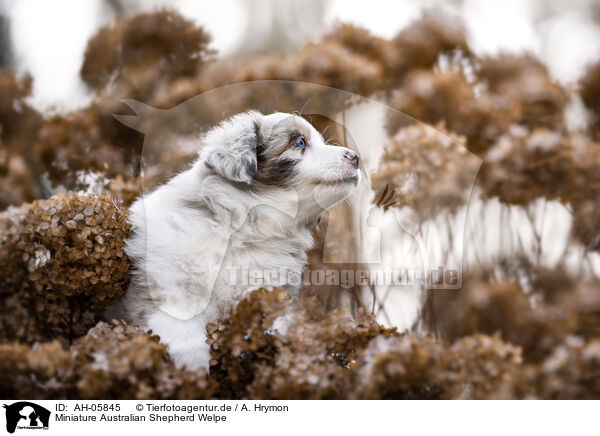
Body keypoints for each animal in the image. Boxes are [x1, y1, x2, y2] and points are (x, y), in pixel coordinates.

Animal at [106, 110, 360, 370]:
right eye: (300, 142)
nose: (356, 157)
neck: (244, 232)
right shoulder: (174, 299)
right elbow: (188, 343)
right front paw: (195, 374)